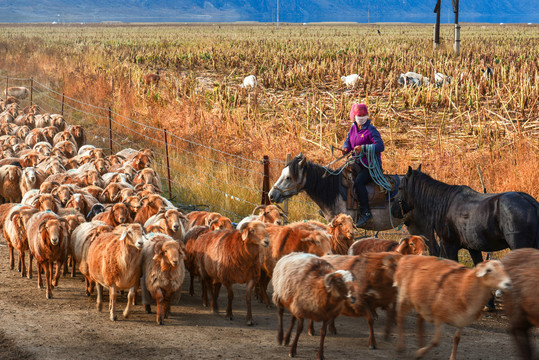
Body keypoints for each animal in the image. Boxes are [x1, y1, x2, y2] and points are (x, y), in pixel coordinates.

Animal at [392, 166, 539, 262]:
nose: (393, 208)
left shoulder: (450, 246)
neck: (444, 203)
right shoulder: (473, 249)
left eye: (400, 188)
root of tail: (530, 202)